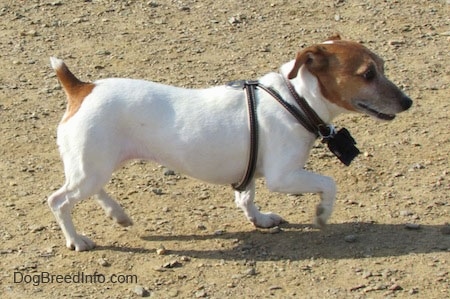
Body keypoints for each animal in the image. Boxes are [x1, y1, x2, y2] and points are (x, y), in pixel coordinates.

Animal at [48, 34, 412, 251]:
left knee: (92, 190)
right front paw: (322, 214)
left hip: (94, 165)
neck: (294, 99)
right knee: (59, 201)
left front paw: (259, 220)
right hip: (91, 168)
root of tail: (81, 88)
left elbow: (246, 199)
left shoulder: (249, 172)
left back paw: (118, 214)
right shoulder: (284, 177)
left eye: (382, 66)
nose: (408, 102)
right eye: (367, 74)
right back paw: (76, 239)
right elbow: (329, 183)